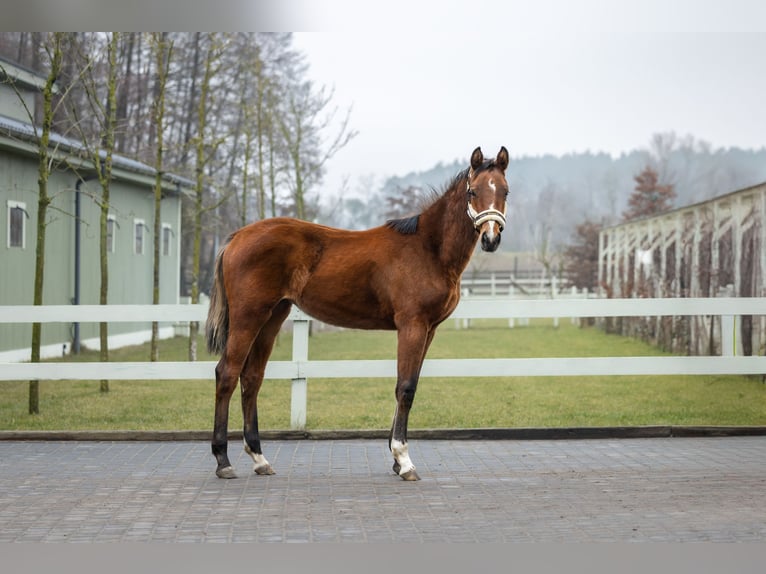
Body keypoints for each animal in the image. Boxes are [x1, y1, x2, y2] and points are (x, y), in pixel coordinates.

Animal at [205, 146, 510, 481]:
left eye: (505, 191)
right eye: (472, 191)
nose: (491, 238)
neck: (428, 248)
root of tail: (237, 236)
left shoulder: (429, 330)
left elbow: (408, 383)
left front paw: (395, 459)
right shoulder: (412, 325)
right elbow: (405, 387)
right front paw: (404, 460)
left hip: (273, 317)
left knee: (252, 377)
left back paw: (259, 458)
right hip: (249, 316)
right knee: (227, 373)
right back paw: (223, 460)